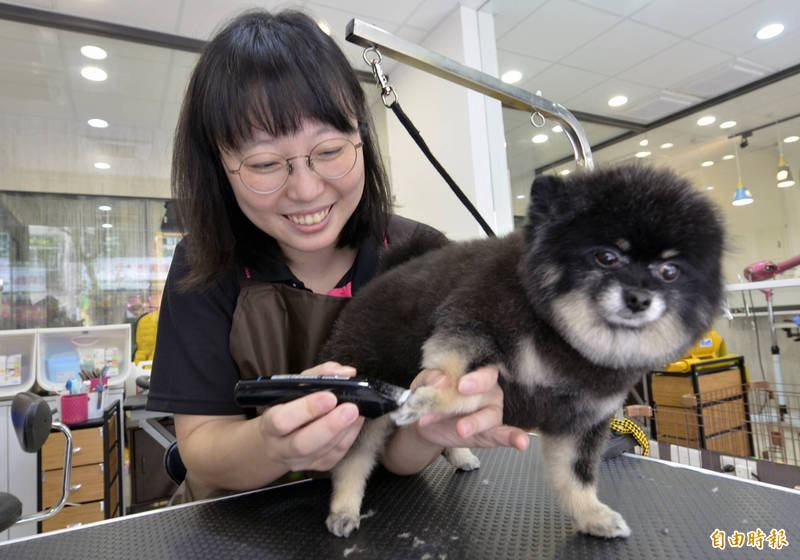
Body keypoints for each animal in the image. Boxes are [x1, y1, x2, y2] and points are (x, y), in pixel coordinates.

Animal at [318, 165, 724, 540]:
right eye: (607, 257)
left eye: (669, 271)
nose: (639, 299)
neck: (564, 338)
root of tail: (381, 278)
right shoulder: (473, 324)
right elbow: (459, 380)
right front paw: (432, 399)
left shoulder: (580, 419)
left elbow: (577, 476)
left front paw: (592, 515)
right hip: (364, 395)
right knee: (353, 459)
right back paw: (344, 509)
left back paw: (459, 454)